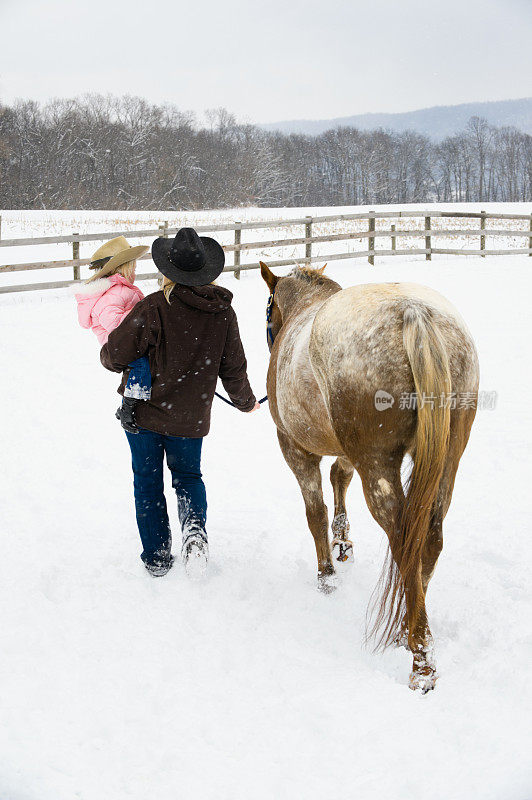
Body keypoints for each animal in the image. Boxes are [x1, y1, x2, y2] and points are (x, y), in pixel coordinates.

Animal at [260, 260, 480, 692]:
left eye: (269, 308)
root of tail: (414, 313)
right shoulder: (348, 456)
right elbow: (338, 481)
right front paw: (342, 541)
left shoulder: (295, 449)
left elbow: (315, 513)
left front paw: (327, 576)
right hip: (447, 459)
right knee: (429, 540)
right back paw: (408, 627)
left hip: (377, 466)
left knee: (404, 541)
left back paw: (420, 657)